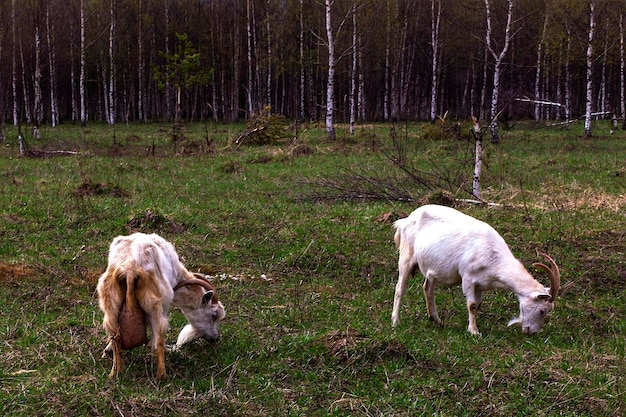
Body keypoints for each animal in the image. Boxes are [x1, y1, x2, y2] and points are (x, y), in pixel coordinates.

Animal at [96, 232, 225, 378]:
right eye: (214, 315)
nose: (216, 338)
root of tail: (129, 268)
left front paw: (107, 350)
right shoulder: (164, 305)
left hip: (110, 304)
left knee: (115, 337)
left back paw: (115, 372)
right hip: (155, 305)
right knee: (158, 340)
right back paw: (162, 375)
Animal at [390, 205, 560, 334]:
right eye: (542, 310)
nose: (531, 332)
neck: (495, 258)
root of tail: (404, 221)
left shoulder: (481, 284)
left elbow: (478, 304)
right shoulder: (468, 278)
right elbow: (471, 305)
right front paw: (474, 332)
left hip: (432, 268)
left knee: (428, 288)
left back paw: (436, 320)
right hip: (406, 257)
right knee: (400, 288)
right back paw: (395, 321)